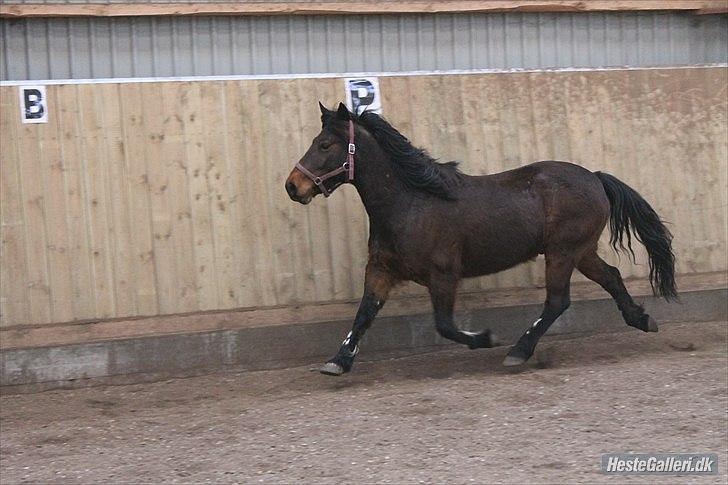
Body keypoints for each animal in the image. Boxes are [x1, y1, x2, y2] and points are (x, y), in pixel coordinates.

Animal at [284, 101, 676, 374]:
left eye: (324, 145)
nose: (293, 186)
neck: (410, 202)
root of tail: (594, 177)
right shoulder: (381, 269)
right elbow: (363, 315)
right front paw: (337, 361)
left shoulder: (443, 274)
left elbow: (444, 325)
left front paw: (486, 338)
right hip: (581, 251)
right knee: (611, 277)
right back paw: (643, 320)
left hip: (563, 252)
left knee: (557, 301)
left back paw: (518, 351)